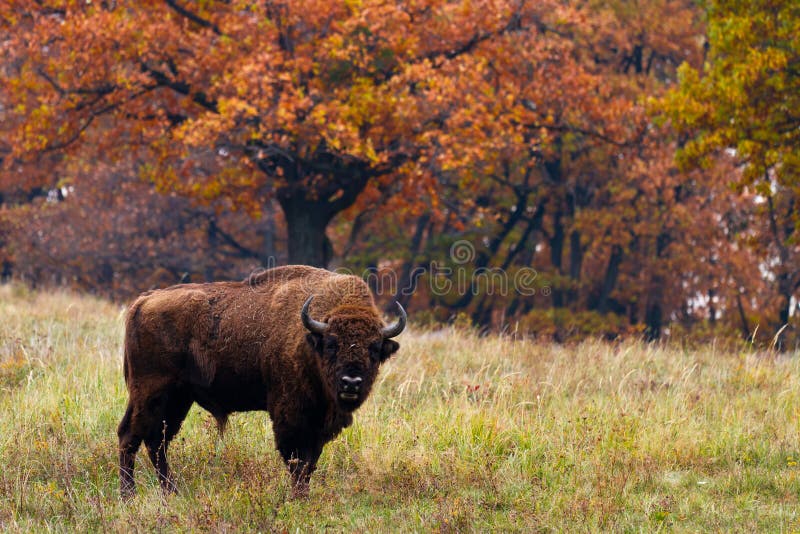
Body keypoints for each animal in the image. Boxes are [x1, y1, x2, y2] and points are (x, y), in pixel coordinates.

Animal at [115, 266, 404, 500]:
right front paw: (298, 499)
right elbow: (297, 461)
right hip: (150, 392)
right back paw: (129, 495)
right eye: (332, 344)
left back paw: (171, 492)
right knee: (131, 435)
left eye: (374, 348)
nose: (351, 382)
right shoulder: (291, 416)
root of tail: (144, 300)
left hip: (177, 398)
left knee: (157, 441)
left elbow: (310, 462)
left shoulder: (319, 425)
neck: (311, 340)